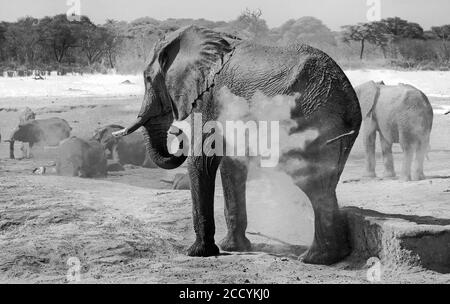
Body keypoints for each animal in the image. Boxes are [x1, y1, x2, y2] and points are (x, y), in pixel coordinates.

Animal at [117, 25, 362, 264]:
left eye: (148, 79)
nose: (176, 131)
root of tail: (345, 91)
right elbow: (231, 164)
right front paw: (232, 248)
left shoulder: (211, 97)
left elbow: (202, 159)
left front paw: (198, 252)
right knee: (326, 182)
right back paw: (331, 255)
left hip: (308, 119)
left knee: (312, 182)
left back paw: (316, 258)